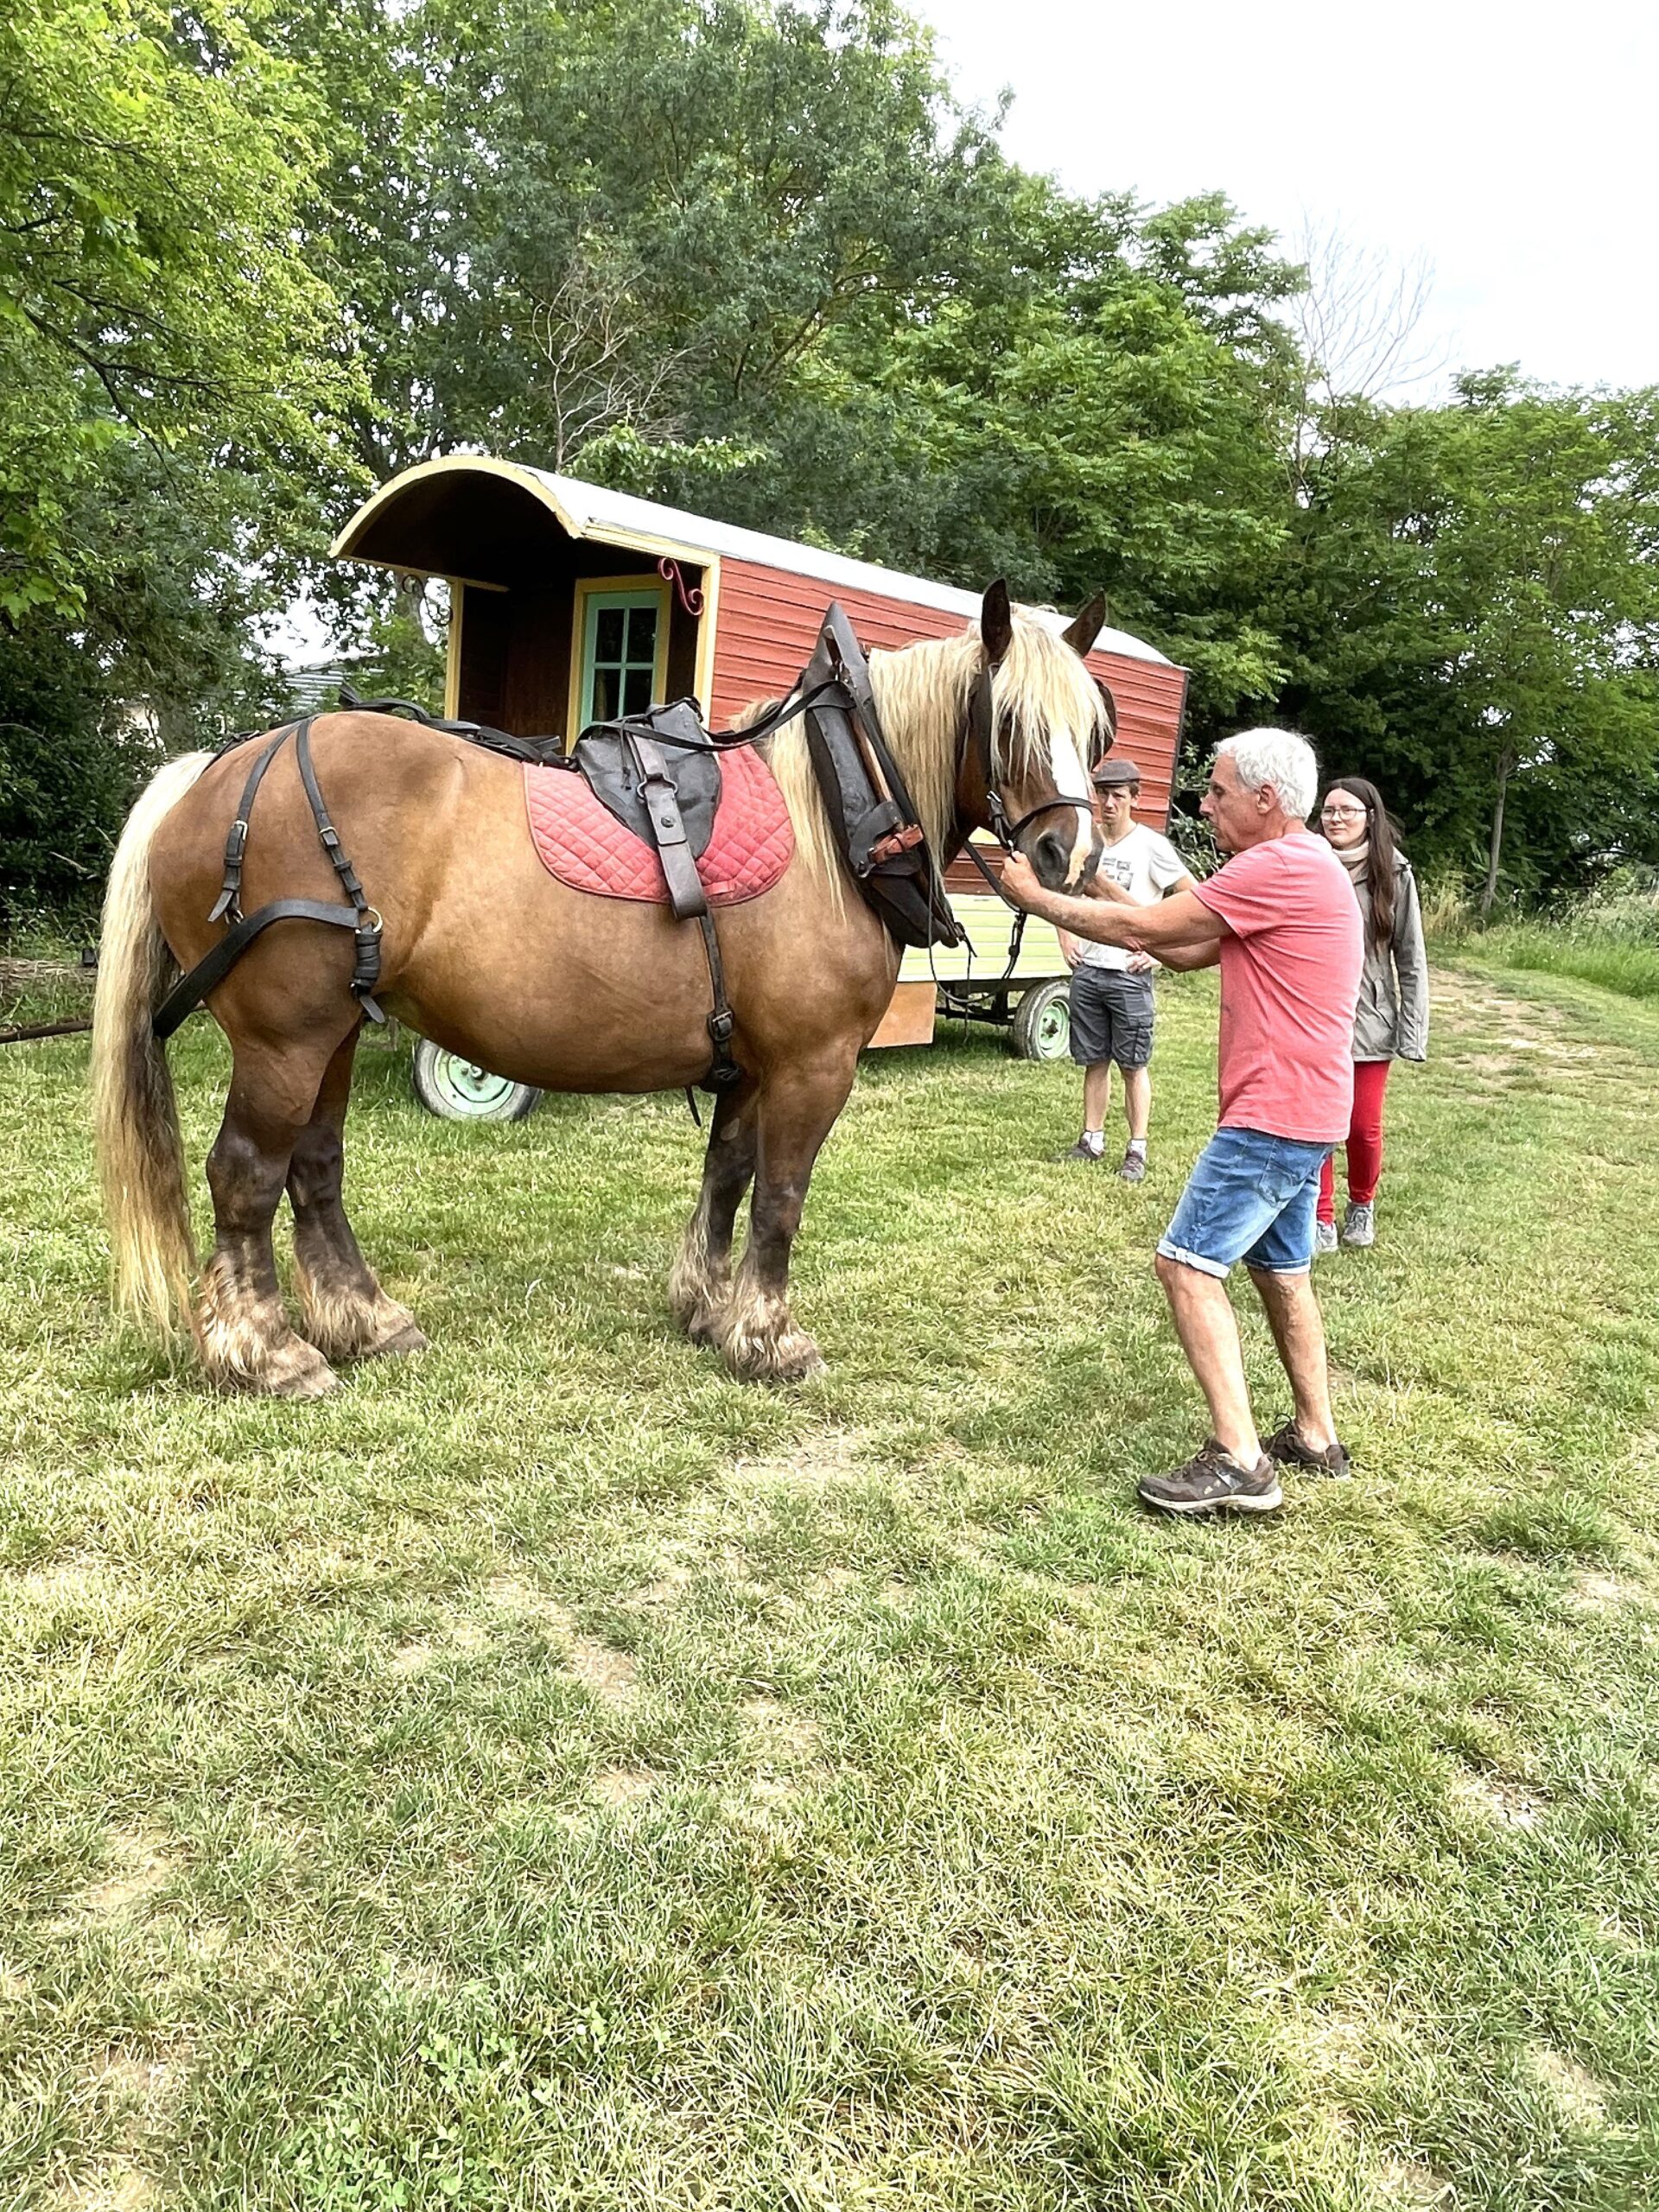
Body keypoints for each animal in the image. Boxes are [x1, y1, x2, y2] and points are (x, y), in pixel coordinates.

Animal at [91, 582, 1108, 1396]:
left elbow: (727, 1174)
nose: (1071, 854)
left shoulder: (751, 1061)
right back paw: (264, 1351)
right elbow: (781, 1197)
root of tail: (218, 772)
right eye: (1010, 722)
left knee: (314, 1168)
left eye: (1095, 731)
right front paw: (768, 1337)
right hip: (285, 1040)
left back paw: (364, 1321)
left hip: (333, 1032)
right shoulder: (813, 1064)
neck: (835, 809)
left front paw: (707, 1307)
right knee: (245, 1175)